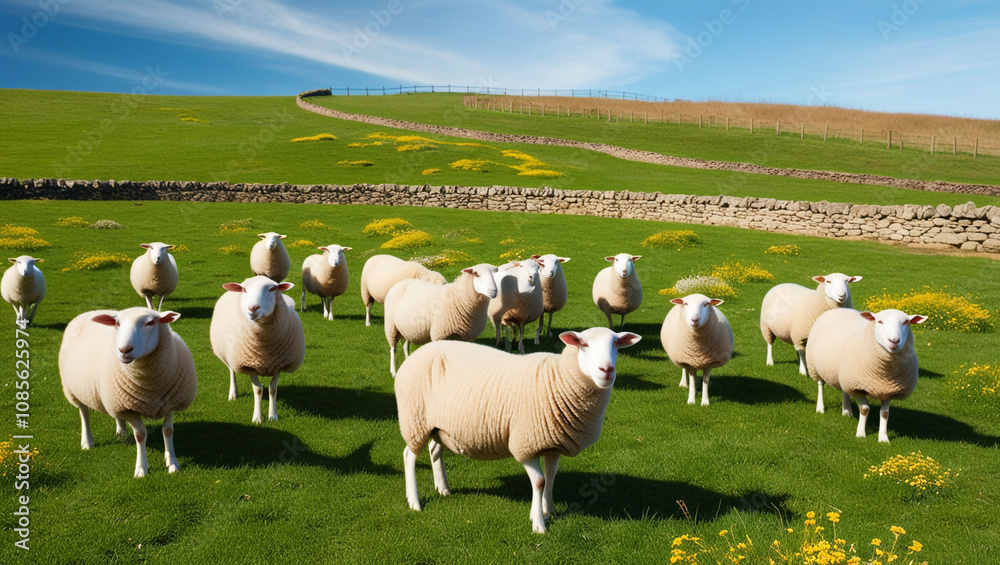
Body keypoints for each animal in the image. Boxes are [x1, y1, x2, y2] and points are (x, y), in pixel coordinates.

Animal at [58, 307, 197, 478]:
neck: (151, 387)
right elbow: (141, 435)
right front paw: (141, 469)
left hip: (115, 398)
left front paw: (172, 463)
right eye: (117, 323)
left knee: (115, 415)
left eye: (150, 323)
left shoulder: (169, 403)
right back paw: (87, 441)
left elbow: (168, 431)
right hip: (74, 390)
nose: (124, 350)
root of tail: (91, 311)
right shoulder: (130, 410)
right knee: (84, 413)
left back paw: (121, 432)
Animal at [209, 276, 305, 422]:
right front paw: (257, 418)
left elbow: (272, 389)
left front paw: (273, 416)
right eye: (244, 289)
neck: (264, 349)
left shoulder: (279, 363)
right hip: (229, 356)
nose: (253, 308)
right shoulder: (249, 365)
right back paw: (233, 393)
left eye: (272, 289)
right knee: (232, 371)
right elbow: (258, 390)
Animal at [396, 326, 640, 533]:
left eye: (616, 344)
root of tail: (416, 353)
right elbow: (539, 481)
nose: (606, 370)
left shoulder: (554, 443)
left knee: (434, 450)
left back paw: (443, 488)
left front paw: (549, 510)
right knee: (409, 455)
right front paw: (538, 523)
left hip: (439, 426)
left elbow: (551, 476)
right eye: (584, 344)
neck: (558, 379)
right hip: (414, 419)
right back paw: (414, 501)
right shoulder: (525, 444)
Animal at [805, 308, 927, 443]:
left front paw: (883, 438)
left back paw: (847, 411)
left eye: (906, 322)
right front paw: (860, 433)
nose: (894, 341)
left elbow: (885, 413)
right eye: (879, 321)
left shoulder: (889, 390)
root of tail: (839, 309)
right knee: (820, 385)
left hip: (843, 375)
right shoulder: (856, 387)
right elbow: (865, 409)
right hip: (814, 366)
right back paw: (820, 408)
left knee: (844, 390)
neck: (884, 374)